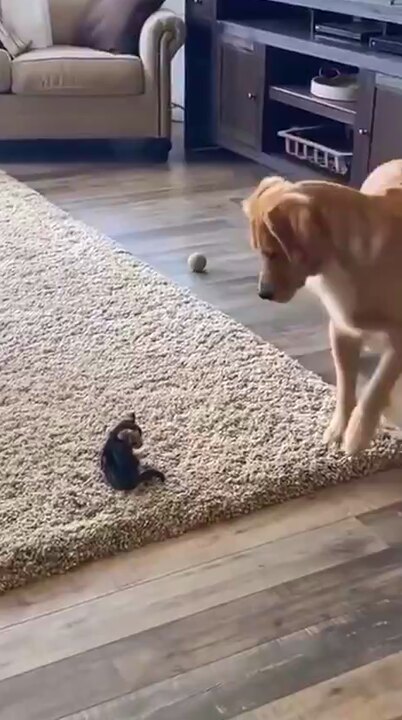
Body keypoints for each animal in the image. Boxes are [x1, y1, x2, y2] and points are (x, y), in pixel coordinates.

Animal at [243, 159, 402, 455]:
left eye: (272, 253)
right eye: (261, 252)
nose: (262, 294)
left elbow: (376, 387)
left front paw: (358, 433)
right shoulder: (342, 330)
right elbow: (345, 386)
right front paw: (338, 429)